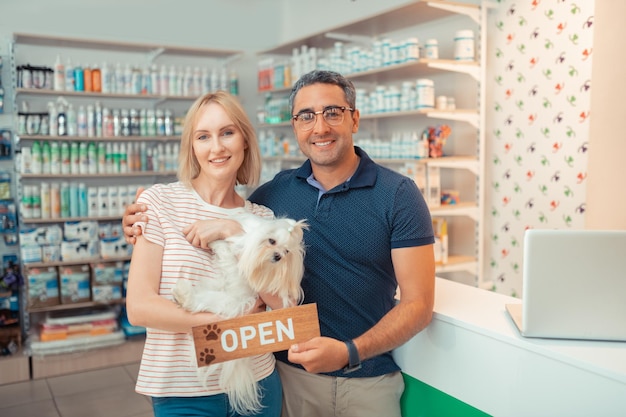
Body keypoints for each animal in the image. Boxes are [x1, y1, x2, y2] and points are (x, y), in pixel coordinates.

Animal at [171, 213, 308, 414]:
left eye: (287, 251)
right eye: (271, 241)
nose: (277, 256)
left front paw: (217, 241)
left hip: (226, 302)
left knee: (200, 302)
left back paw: (183, 295)